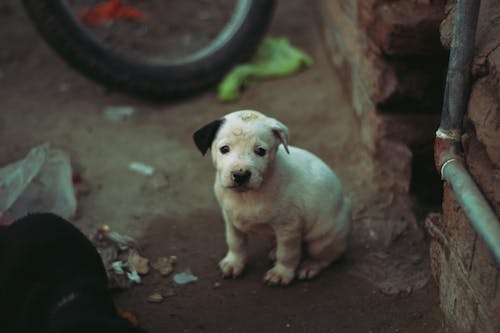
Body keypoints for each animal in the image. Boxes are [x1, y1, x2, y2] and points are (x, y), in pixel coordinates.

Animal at [192, 110, 352, 284]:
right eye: (224, 149)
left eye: (261, 151)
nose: (240, 175)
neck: (247, 195)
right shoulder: (230, 220)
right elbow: (235, 243)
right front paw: (234, 263)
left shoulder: (288, 228)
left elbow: (287, 253)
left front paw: (281, 273)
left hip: (322, 240)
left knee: (327, 257)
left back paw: (310, 266)